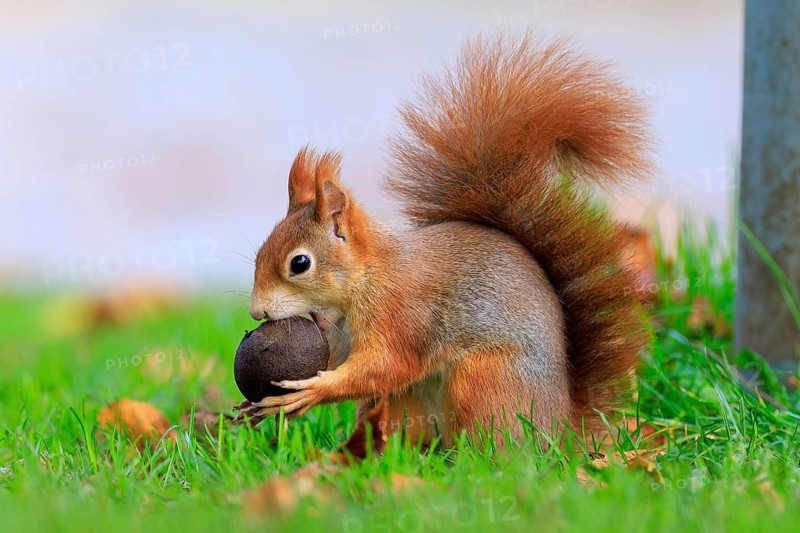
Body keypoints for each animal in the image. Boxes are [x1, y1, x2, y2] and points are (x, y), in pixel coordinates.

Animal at [243, 34, 653, 447]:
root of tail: (561, 428)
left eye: (300, 263)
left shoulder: (401, 314)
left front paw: (311, 391)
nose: (256, 312)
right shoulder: (341, 334)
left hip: (483, 378)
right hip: (408, 403)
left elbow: (388, 364)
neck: (367, 277)